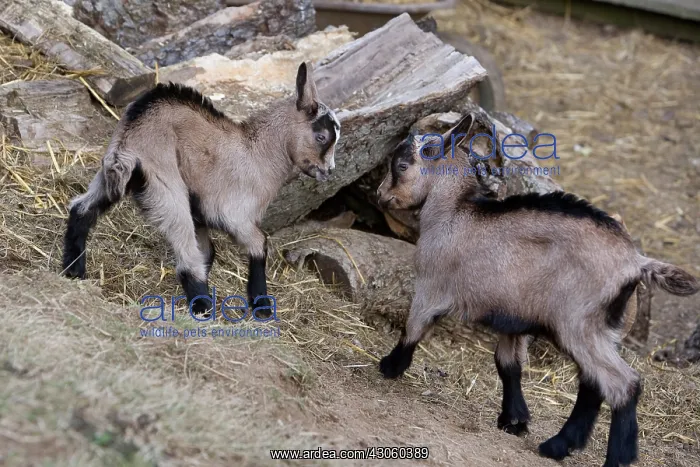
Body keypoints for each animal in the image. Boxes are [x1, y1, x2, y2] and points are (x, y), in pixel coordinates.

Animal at [62, 62, 341, 317]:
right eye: (322, 137)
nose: (329, 170)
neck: (258, 154)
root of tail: (131, 138)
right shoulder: (235, 216)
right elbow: (259, 244)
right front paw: (261, 306)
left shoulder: (202, 218)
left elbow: (208, 253)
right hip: (166, 186)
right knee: (186, 256)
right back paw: (205, 310)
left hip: (109, 173)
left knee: (81, 209)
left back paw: (74, 271)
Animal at [376, 114, 698, 467]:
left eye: (401, 164)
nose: (380, 195)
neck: (454, 212)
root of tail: (635, 262)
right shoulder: (512, 318)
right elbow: (508, 364)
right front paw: (514, 421)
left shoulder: (430, 288)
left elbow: (413, 329)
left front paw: (389, 367)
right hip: (601, 329)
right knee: (592, 384)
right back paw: (559, 445)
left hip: (578, 324)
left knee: (622, 384)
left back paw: (614, 457)